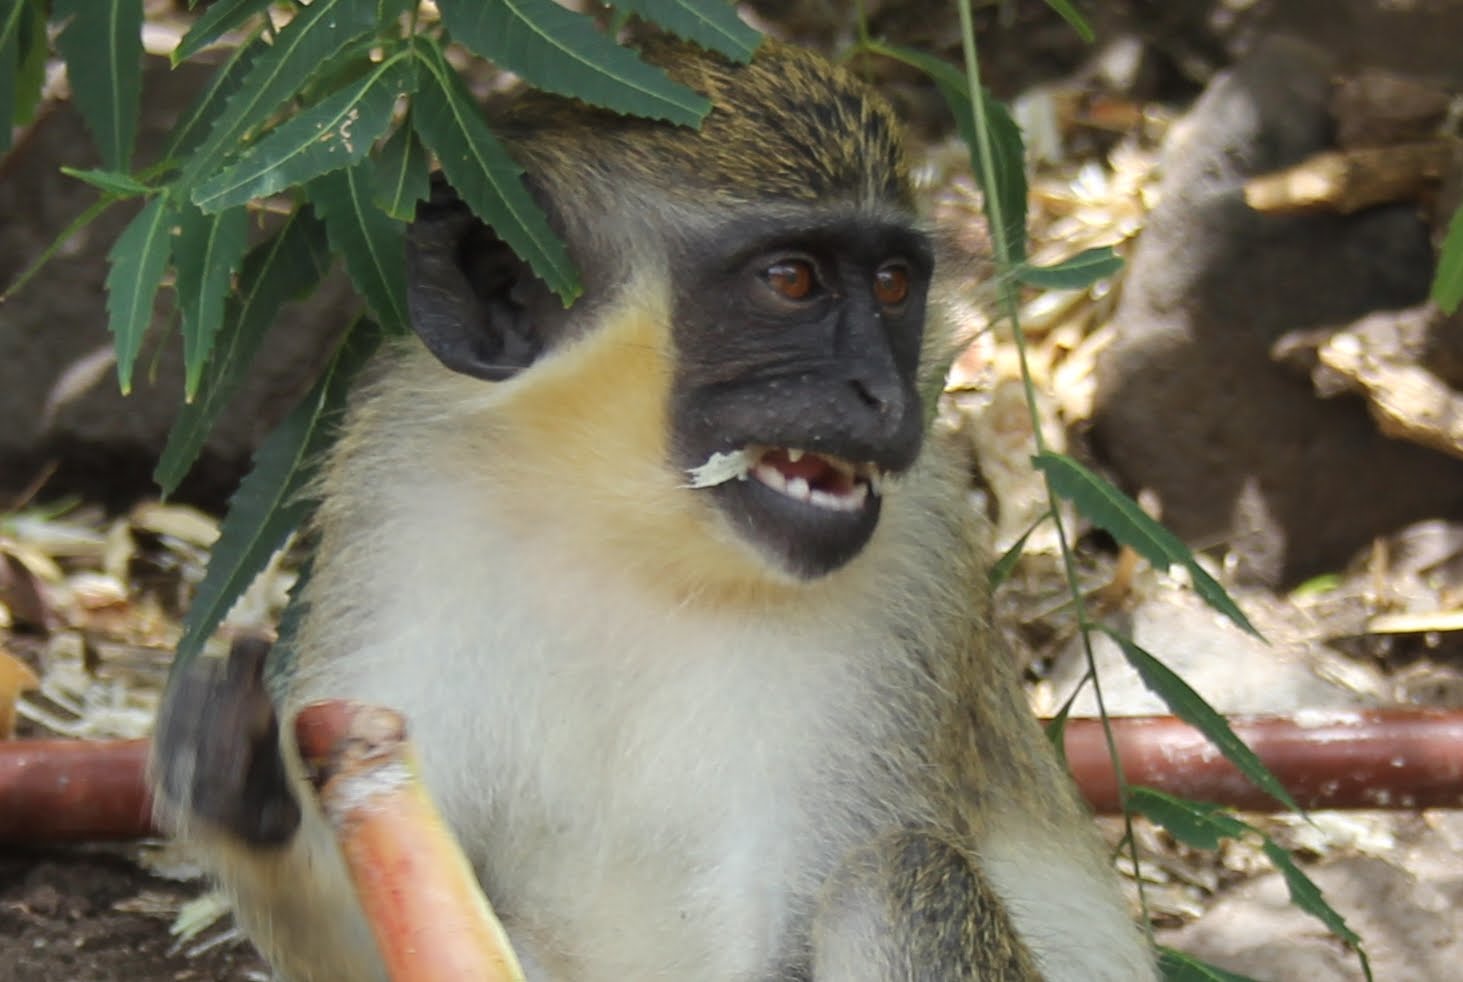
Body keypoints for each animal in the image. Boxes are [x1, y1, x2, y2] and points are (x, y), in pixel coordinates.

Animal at [151, 37, 1157, 982]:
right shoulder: (405, 495)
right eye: (792, 281)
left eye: (892, 286)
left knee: (897, 877)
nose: (884, 394)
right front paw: (242, 784)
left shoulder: (915, 564)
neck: (625, 530)